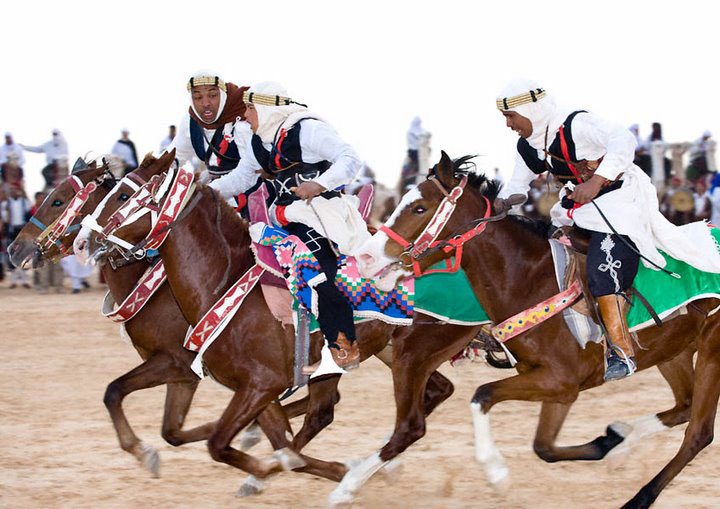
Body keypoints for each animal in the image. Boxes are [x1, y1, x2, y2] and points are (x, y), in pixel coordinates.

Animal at [81, 165, 456, 490]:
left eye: (123, 195)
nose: (86, 240)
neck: (222, 284)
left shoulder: (250, 381)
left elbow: (220, 442)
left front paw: (264, 468)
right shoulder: (253, 385)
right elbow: (277, 443)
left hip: (403, 353)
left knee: (343, 414)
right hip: (389, 351)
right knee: (428, 394)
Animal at [352, 152, 716, 508]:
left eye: (419, 207)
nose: (366, 256)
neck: (529, 280)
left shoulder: (559, 379)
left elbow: (482, 395)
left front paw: (496, 472)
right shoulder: (559, 386)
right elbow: (545, 448)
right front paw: (609, 442)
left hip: (712, 352)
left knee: (699, 434)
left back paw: (639, 497)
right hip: (673, 349)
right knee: (684, 406)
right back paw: (623, 444)